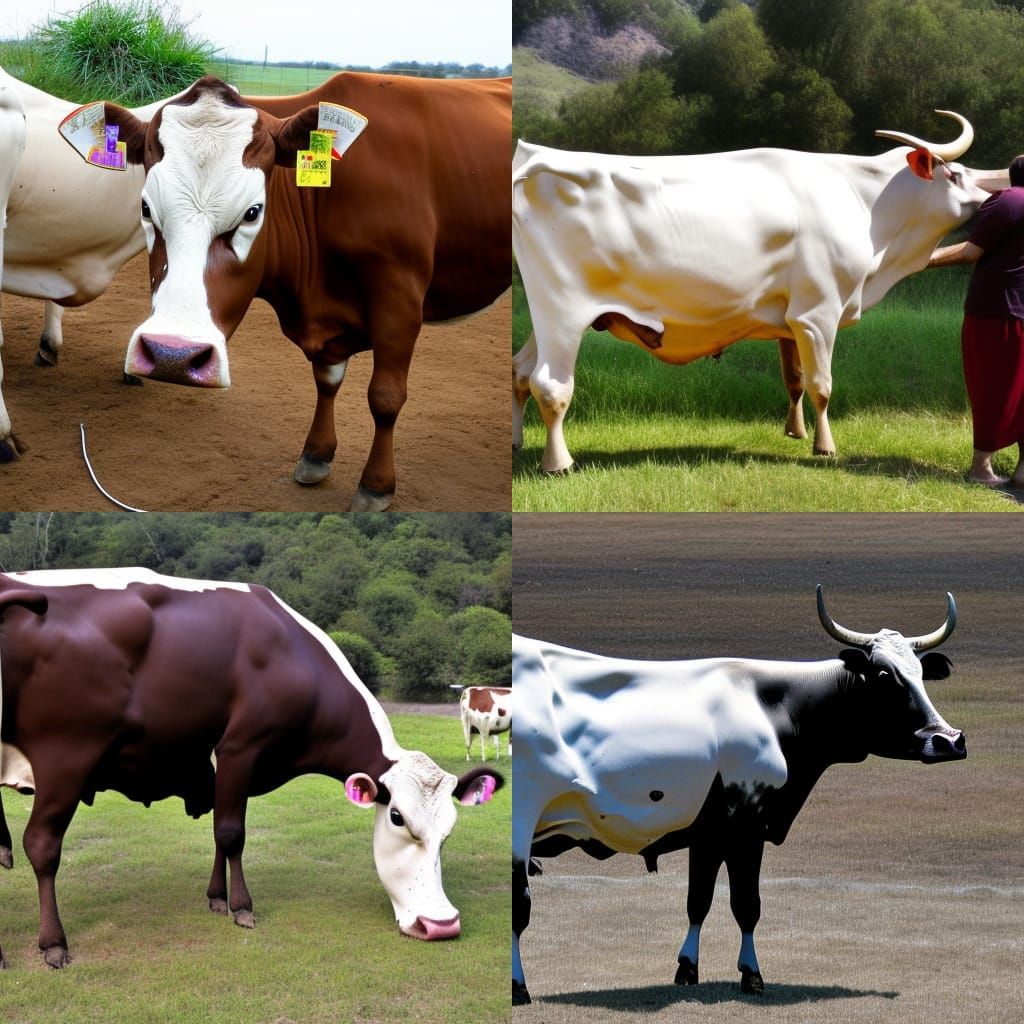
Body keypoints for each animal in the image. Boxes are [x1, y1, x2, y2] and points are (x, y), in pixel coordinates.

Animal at [0, 568, 503, 970]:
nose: (441, 926)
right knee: (41, 845)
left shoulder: (223, 769)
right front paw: (242, 907)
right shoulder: (241, 747)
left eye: (449, 831)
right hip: (67, 755)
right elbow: (231, 833)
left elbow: (220, 831)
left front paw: (216, 898)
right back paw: (53, 942)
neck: (295, 657)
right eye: (398, 818)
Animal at [77, 73, 511, 512]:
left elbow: (385, 397)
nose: (173, 356)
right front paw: (316, 455)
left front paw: (376, 485)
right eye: (146, 209)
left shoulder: (400, 300)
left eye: (253, 212)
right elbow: (327, 380)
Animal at [511, 587, 965, 1004]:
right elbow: (747, 904)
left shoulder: (710, 830)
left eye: (921, 674)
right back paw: (519, 988)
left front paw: (688, 969)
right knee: (521, 906)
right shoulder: (748, 824)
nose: (949, 739)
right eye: (886, 677)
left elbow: (699, 900)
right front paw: (752, 975)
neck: (772, 705)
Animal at [512, 112, 1007, 473]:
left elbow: (795, 379)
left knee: (519, 372)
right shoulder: (817, 313)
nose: (998, 185)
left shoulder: (791, 319)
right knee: (550, 385)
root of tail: (531, 156)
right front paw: (825, 447)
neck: (865, 205)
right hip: (562, 311)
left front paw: (796, 432)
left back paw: (516, 443)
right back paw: (557, 462)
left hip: (545, 315)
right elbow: (823, 385)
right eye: (956, 175)